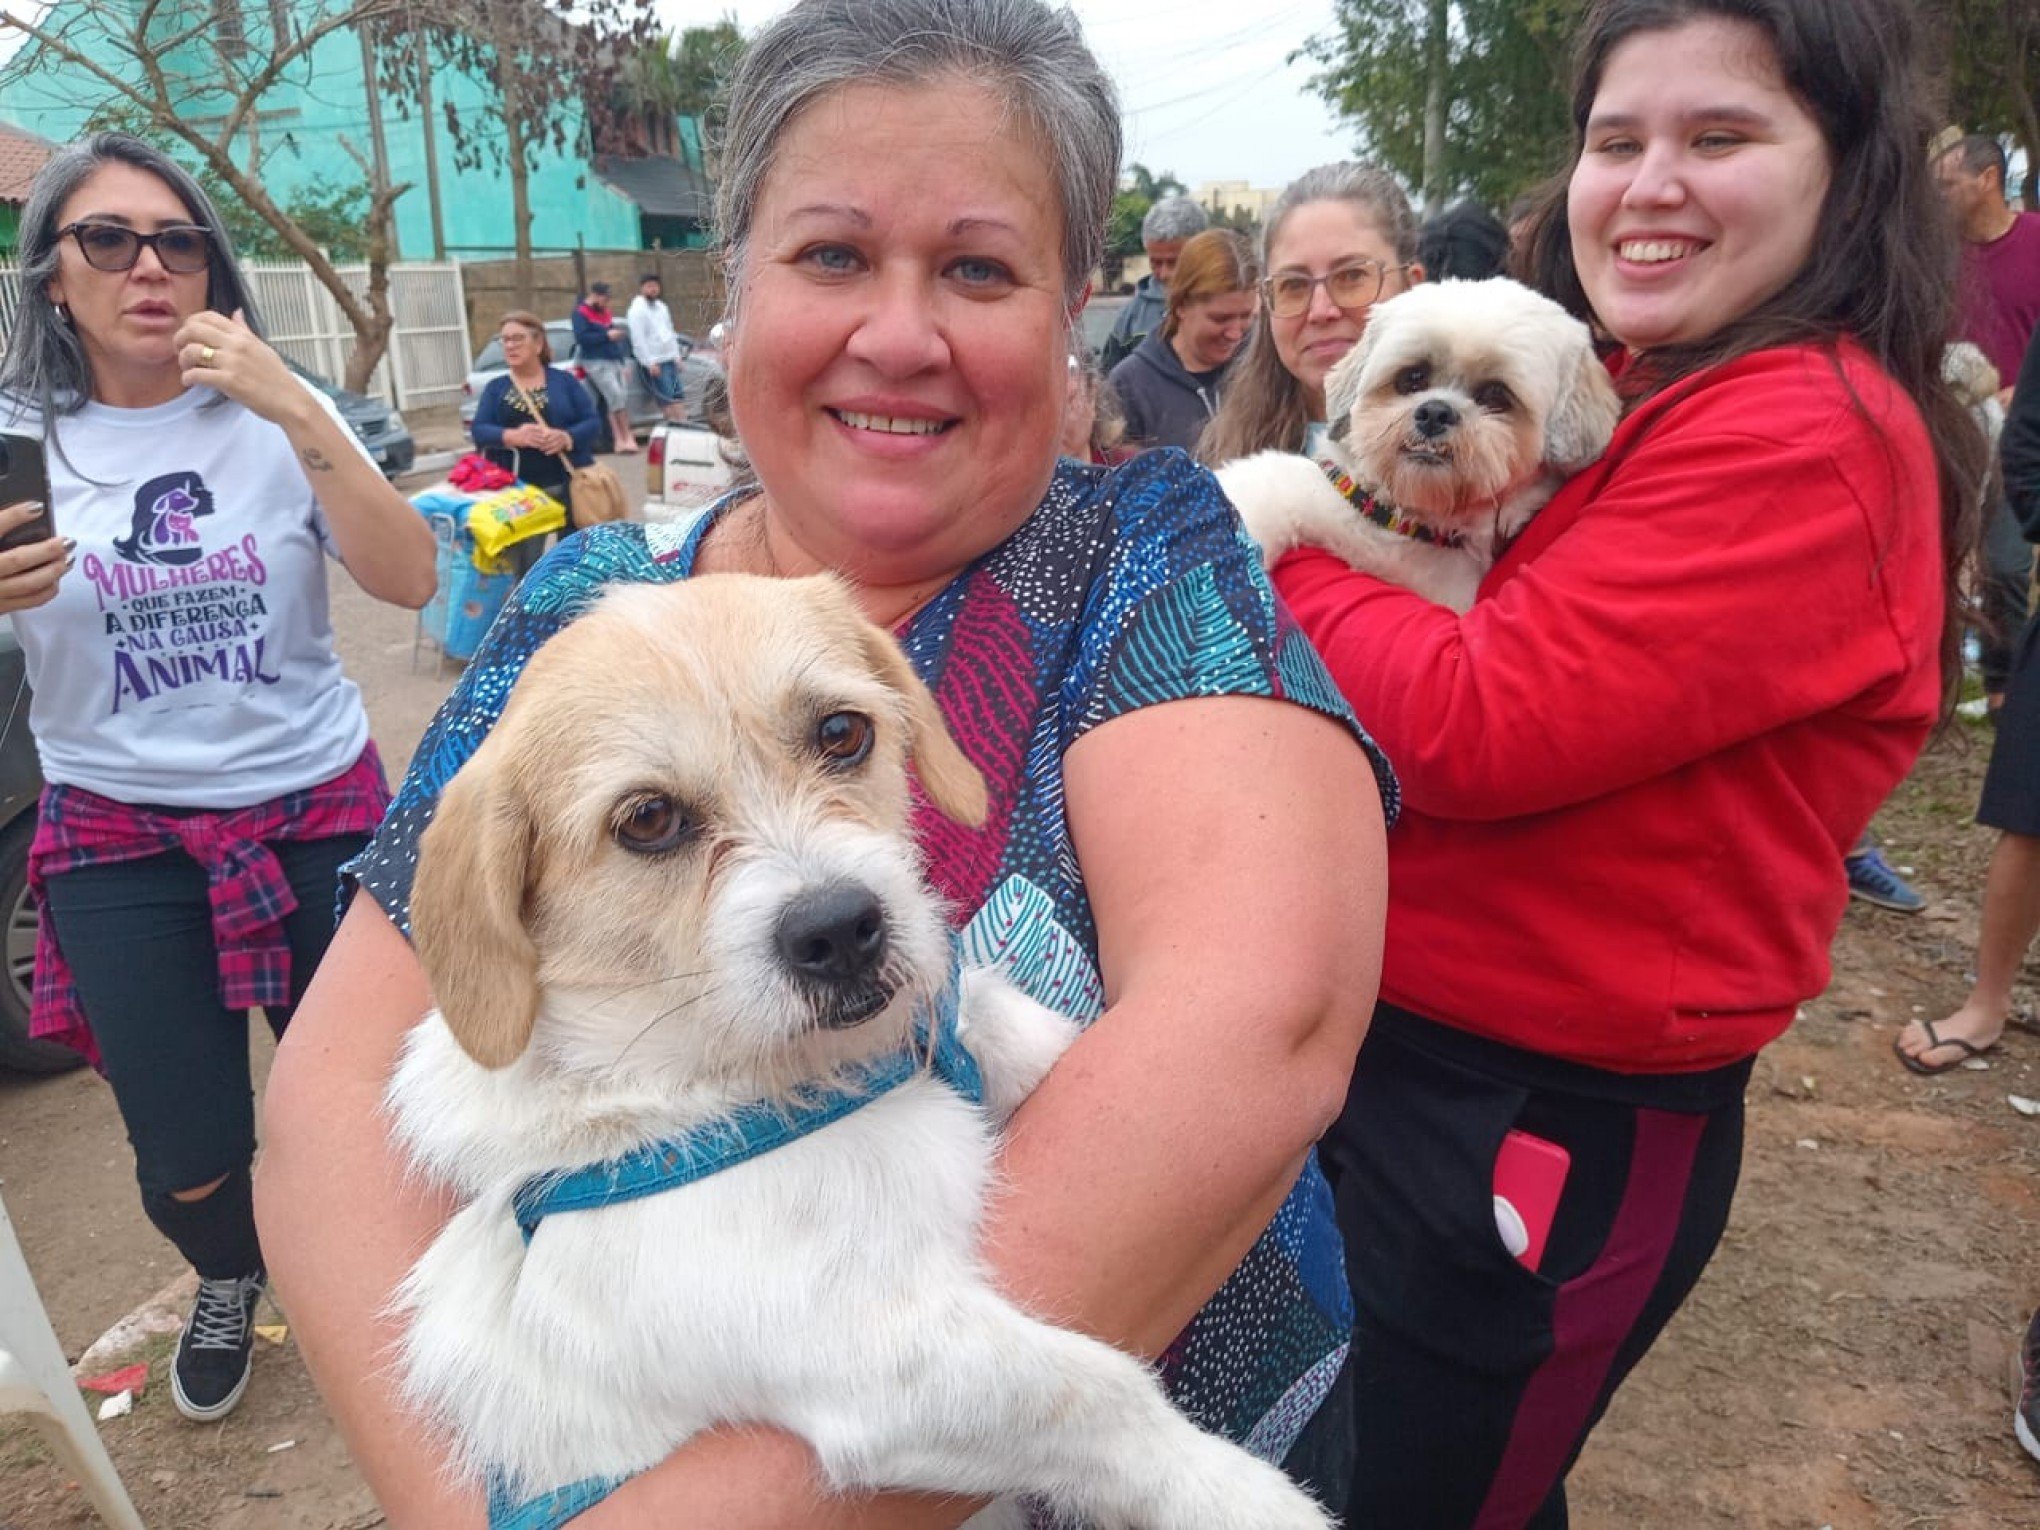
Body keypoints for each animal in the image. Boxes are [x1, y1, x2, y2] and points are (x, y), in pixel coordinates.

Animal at [387, 575, 1330, 1530]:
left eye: (842, 732)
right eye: (647, 819)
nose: (840, 930)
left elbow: (1008, 1022)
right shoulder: (871, 1357)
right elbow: (1096, 1391)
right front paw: (1244, 1498)